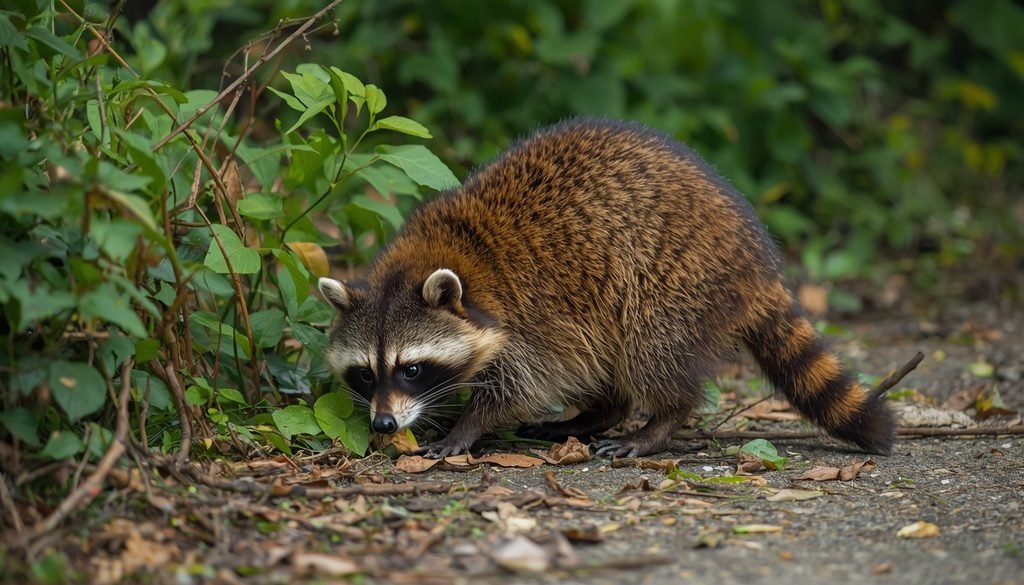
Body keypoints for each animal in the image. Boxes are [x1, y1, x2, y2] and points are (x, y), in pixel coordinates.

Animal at [317, 119, 894, 458]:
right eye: (366, 373)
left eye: (411, 369)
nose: (384, 423)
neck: (440, 253)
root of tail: (757, 258)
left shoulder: (526, 315)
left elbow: (523, 383)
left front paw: (469, 425)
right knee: (604, 355)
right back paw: (599, 414)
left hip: (675, 279)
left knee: (651, 348)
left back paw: (660, 421)